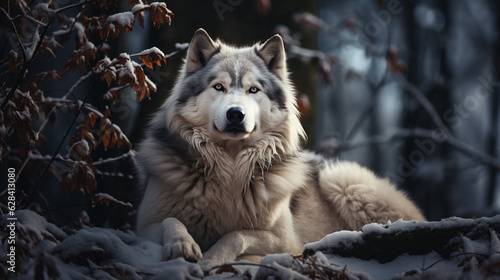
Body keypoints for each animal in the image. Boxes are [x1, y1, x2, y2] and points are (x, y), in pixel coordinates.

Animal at [136, 28, 422, 264]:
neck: (231, 168)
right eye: (218, 87)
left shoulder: (286, 241)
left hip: (341, 179)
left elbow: (236, 235)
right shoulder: (145, 225)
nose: (235, 114)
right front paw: (182, 245)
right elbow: (170, 221)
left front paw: (211, 259)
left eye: (253, 90)